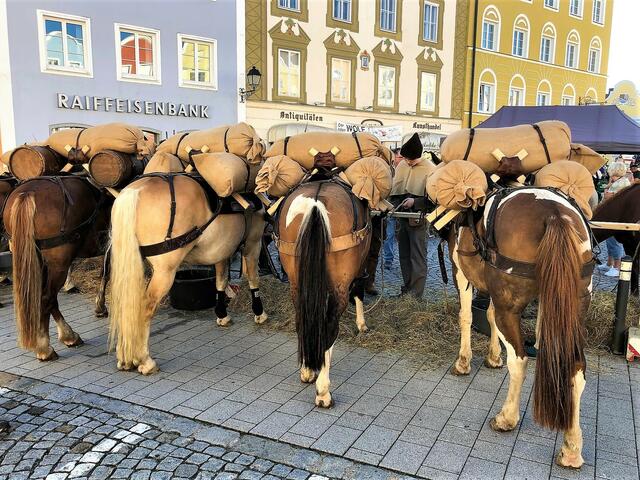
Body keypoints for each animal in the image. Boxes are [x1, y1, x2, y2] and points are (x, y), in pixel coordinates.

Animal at [2, 176, 113, 361]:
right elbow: (107, 271)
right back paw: (45, 347)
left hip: (38, 261)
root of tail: (27, 194)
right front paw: (100, 306)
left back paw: (68, 336)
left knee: (47, 298)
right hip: (58, 264)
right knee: (47, 297)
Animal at [108, 173, 267, 375]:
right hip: (164, 272)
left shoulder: (221, 252)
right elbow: (254, 279)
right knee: (144, 308)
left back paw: (125, 358)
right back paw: (145, 361)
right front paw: (259, 313)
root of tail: (134, 191)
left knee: (126, 303)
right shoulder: (253, 244)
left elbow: (221, 280)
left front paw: (222, 315)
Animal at [276, 177, 371, 407]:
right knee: (330, 326)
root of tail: (315, 204)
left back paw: (307, 371)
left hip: (296, 283)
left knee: (301, 319)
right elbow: (359, 290)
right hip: (339, 287)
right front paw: (361, 324)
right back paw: (323, 392)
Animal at [448, 187, 593, 469]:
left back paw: (507, 418)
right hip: (572, 309)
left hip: (511, 308)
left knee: (519, 361)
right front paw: (493, 357)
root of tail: (554, 214)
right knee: (575, 370)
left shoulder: (461, 271)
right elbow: (489, 316)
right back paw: (571, 448)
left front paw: (463, 362)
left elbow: (466, 316)